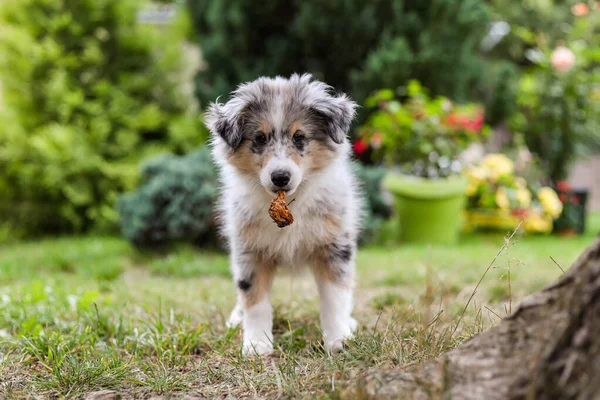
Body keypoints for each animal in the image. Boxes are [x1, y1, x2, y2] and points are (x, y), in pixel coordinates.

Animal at [204, 73, 364, 354]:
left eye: (299, 137)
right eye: (259, 138)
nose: (280, 177)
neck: (290, 202)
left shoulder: (334, 245)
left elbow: (334, 296)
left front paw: (338, 339)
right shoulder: (249, 250)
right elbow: (254, 298)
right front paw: (257, 344)